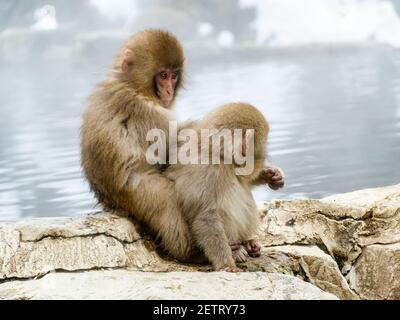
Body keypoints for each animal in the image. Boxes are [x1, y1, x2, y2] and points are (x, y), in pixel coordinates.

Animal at [165, 103, 284, 272]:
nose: (266, 154)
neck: (217, 154)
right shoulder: (210, 170)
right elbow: (206, 216)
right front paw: (226, 264)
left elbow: (246, 178)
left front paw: (273, 175)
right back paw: (238, 250)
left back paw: (249, 244)